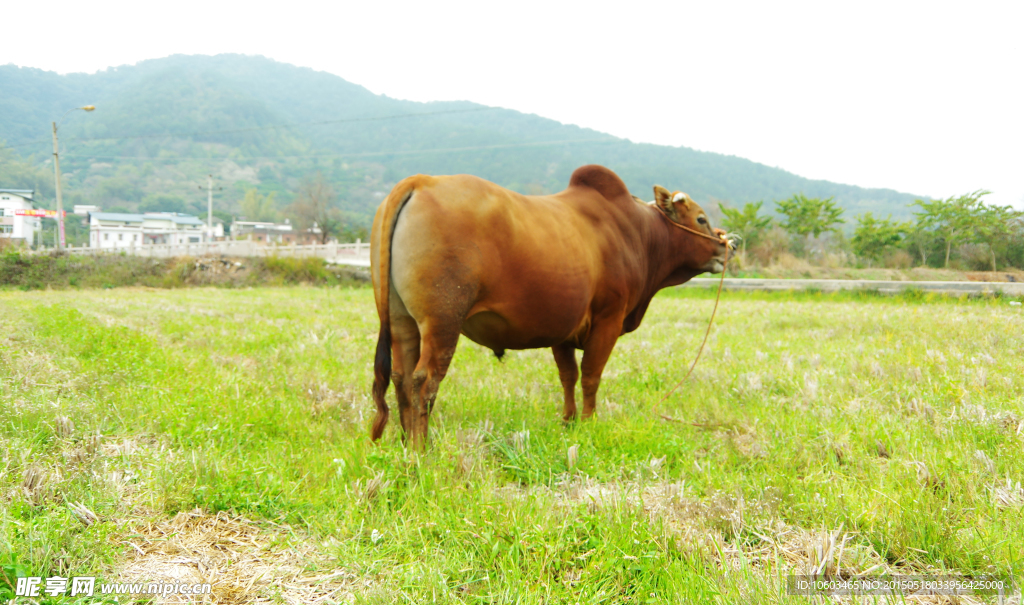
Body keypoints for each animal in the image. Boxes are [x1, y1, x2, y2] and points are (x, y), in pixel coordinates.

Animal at [372, 163, 733, 448]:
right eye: (701, 219)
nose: (727, 245)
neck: (638, 232)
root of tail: (422, 181)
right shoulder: (608, 320)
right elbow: (591, 376)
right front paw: (588, 422)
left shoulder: (564, 329)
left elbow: (568, 377)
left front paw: (568, 421)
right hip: (443, 322)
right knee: (424, 380)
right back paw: (421, 449)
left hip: (401, 321)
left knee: (401, 378)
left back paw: (404, 440)